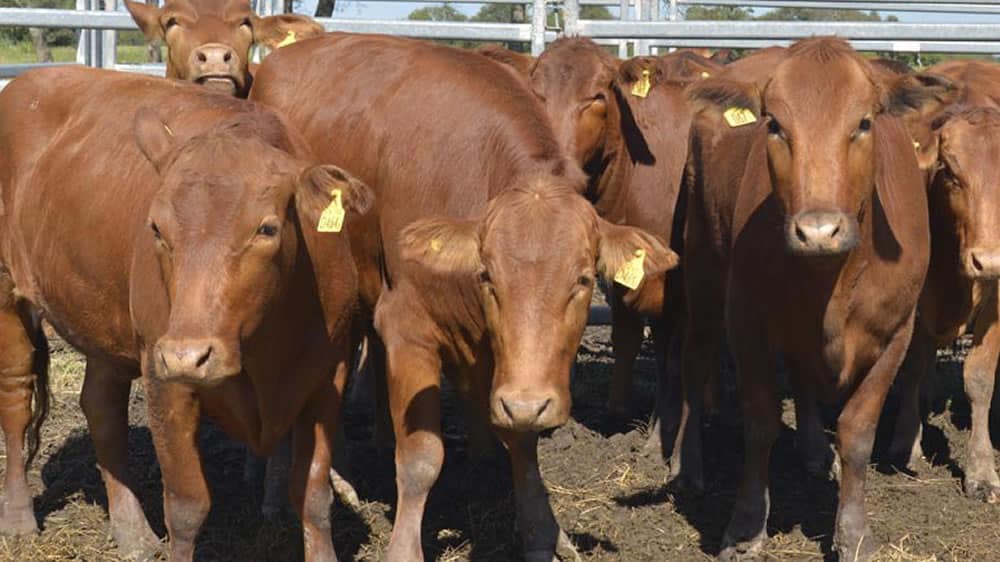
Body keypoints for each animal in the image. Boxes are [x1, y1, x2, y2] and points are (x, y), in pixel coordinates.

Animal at [0, 66, 372, 560]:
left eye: (267, 228)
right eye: (157, 228)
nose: (187, 355)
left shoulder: (327, 375)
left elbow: (312, 495)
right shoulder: (165, 381)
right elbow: (186, 506)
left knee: (101, 406)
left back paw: (132, 532)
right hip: (9, 293)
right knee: (16, 395)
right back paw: (19, 517)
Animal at [250, 32, 680, 556]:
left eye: (582, 280)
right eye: (488, 275)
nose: (530, 402)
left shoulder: (507, 364)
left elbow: (521, 440)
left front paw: (543, 532)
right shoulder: (408, 329)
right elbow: (421, 458)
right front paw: (403, 549)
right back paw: (280, 493)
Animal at [676, 37, 948, 556]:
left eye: (863, 122)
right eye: (775, 125)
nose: (818, 231)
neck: (833, 281)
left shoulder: (896, 332)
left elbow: (858, 432)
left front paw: (854, 534)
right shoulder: (746, 322)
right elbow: (760, 424)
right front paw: (745, 527)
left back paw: (814, 452)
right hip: (700, 262)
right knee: (694, 360)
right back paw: (689, 468)